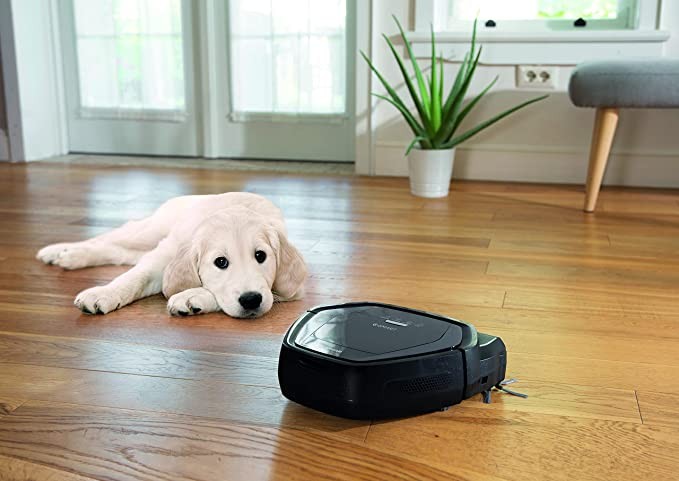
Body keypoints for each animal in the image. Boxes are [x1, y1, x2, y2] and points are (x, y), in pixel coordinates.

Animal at [36, 192, 307, 318]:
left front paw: (192, 297)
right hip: (150, 231)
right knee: (109, 238)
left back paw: (70, 255)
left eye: (261, 256)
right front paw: (104, 293)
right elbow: (133, 278)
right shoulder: (160, 259)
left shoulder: (288, 290)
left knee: (116, 250)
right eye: (220, 262)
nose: (251, 300)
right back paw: (61, 251)